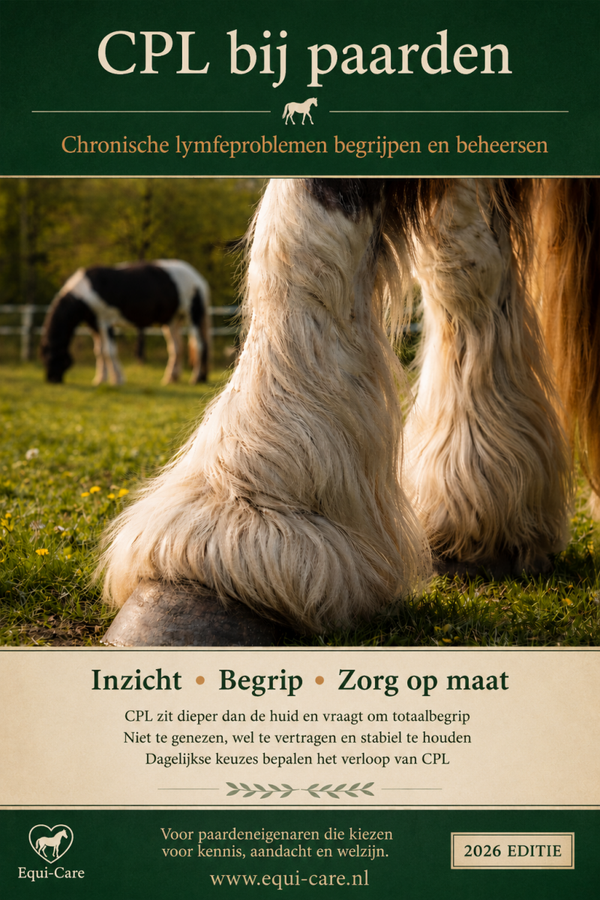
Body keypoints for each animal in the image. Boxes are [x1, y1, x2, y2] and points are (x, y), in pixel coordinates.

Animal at [41, 260, 210, 385]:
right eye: (44, 358)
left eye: (52, 358)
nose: (52, 380)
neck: (86, 290)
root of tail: (199, 280)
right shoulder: (94, 325)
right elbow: (99, 352)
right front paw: (100, 379)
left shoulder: (105, 323)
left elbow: (108, 351)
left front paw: (117, 379)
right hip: (173, 321)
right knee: (176, 348)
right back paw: (171, 378)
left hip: (193, 315)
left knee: (199, 345)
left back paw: (196, 378)